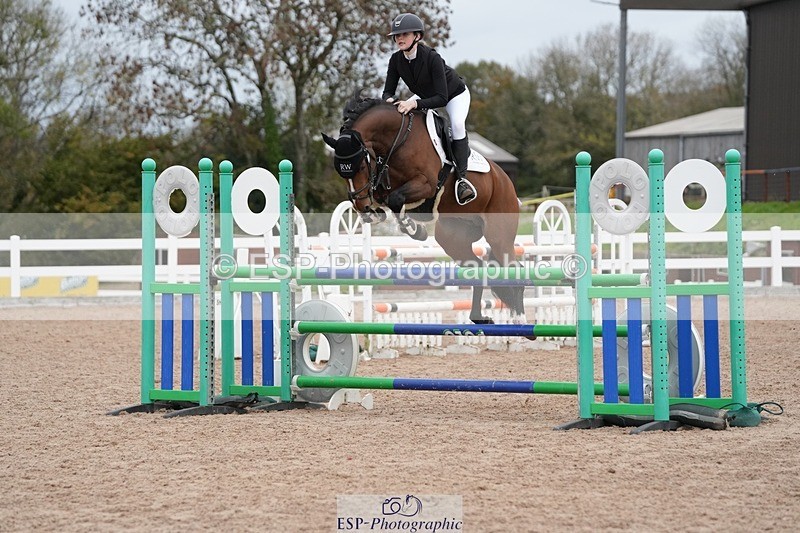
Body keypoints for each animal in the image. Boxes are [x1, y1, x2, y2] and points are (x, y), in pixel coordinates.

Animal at [321, 93, 526, 325]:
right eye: (341, 171)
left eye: (362, 166)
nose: (361, 205)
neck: (398, 140)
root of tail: (505, 181)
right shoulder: (383, 185)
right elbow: (387, 200)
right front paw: (376, 215)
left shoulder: (426, 184)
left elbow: (396, 199)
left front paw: (414, 230)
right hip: (453, 238)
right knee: (478, 268)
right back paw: (479, 318)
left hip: (498, 234)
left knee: (514, 269)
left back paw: (520, 320)